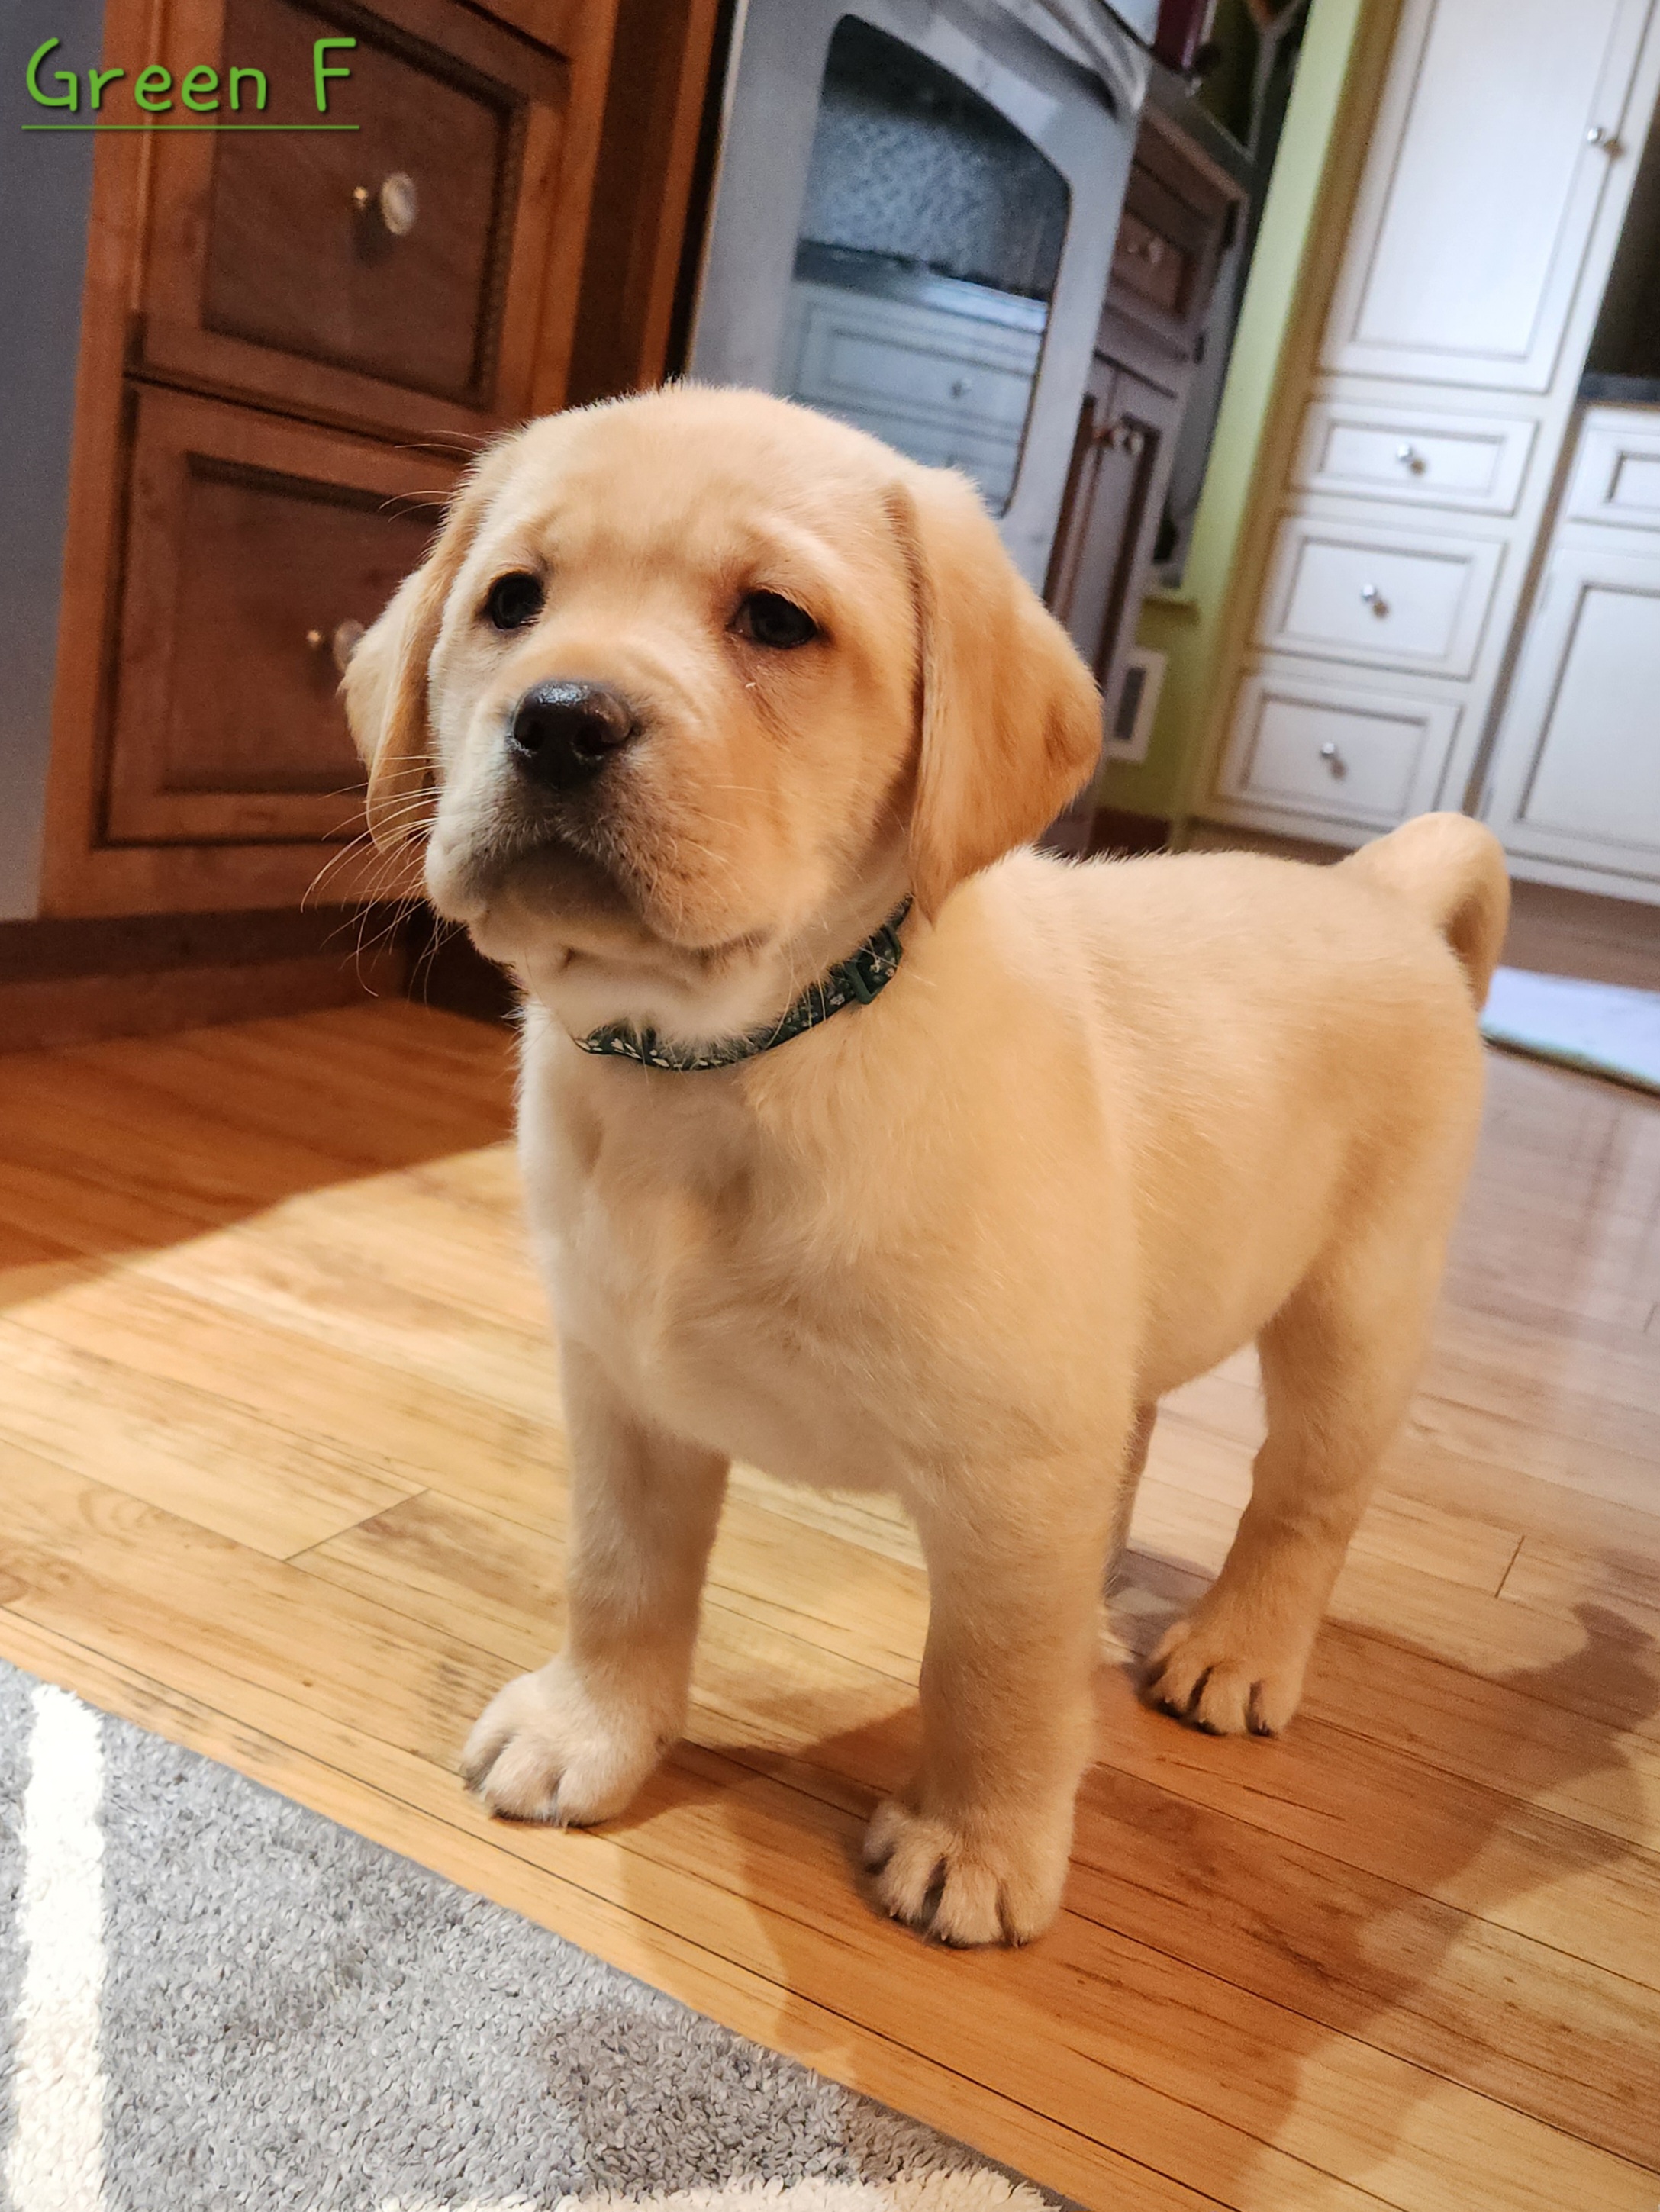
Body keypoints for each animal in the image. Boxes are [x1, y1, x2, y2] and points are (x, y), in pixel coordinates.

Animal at [345, 384, 1509, 1947]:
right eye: (511, 602)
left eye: (776, 620)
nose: (560, 717)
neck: (730, 1061)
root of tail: (1373, 888)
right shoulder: (624, 1387)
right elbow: (619, 1574)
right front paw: (593, 1727)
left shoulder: (1014, 1458)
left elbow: (990, 1671)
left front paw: (978, 1839)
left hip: (1356, 1307)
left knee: (1302, 1498)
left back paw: (1236, 1646)